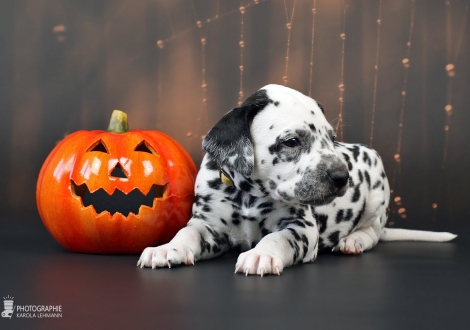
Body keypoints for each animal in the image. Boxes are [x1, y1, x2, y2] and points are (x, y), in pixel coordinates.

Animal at [137, 84, 456, 274]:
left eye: (332, 139)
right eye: (292, 141)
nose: (342, 176)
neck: (250, 196)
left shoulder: (302, 228)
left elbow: (278, 237)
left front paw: (261, 254)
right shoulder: (208, 226)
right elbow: (186, 233)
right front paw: (166, 249)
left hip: (377, 182)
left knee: (373, 232)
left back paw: (353, 241)